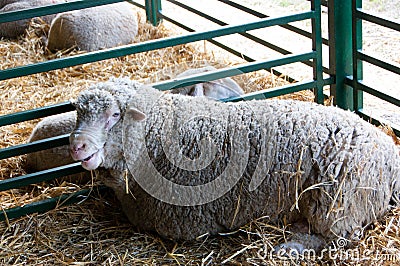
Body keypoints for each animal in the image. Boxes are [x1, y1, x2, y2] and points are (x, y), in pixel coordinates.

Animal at [68, 77, 400, 251]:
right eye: (79, 114)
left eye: (114, 115)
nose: (76, 145)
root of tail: (390, 154)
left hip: (337, 199)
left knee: (339, 236)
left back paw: (290, 247)